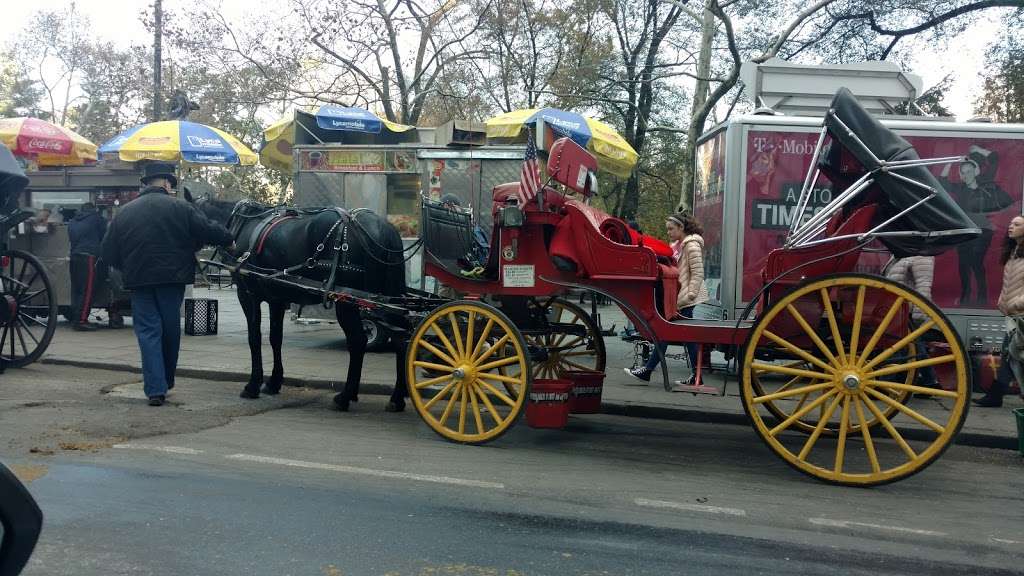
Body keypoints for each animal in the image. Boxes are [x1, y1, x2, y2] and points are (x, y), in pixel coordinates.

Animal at [192, 192, 411, 412]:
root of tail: (382, 229)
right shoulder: (276, 299)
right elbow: (275, 338)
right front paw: (273, 382)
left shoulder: (248, 294)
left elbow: (254, 338)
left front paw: (253, 385)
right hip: (391, 298)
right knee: (402, 340)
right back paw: (397, 398)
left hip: (347, 301)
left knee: (358, 341)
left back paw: (345, 396)